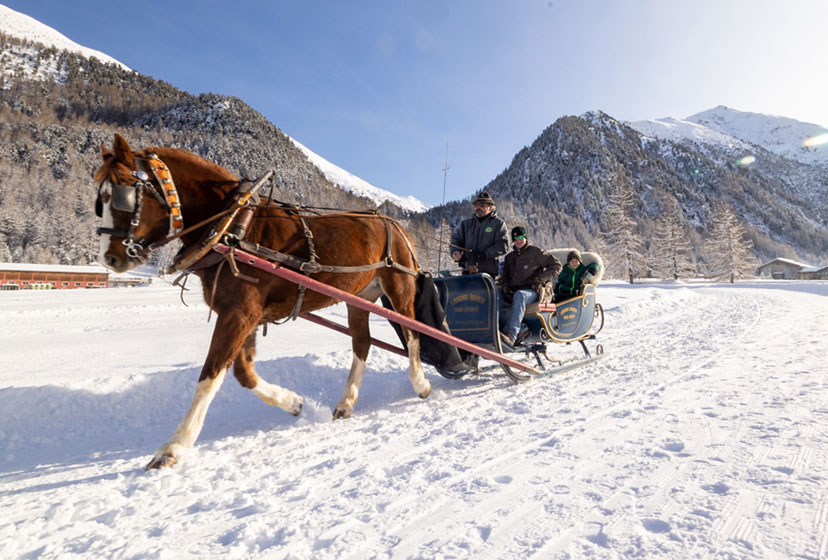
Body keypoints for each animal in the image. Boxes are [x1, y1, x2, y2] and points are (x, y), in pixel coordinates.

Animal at [96, 135, 430, 468]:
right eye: (99, 201)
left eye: (123, 195)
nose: (109, 258)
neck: (231, 226)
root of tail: (395, 224)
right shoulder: (245, 315)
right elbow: (243, 372)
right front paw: (293, 402)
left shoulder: (240, 314)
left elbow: (211, 375)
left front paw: (175, 445)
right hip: (359, 299)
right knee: (362, 342)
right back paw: (346, 402)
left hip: (399, 285)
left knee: (412, 332)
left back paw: (421, 383)